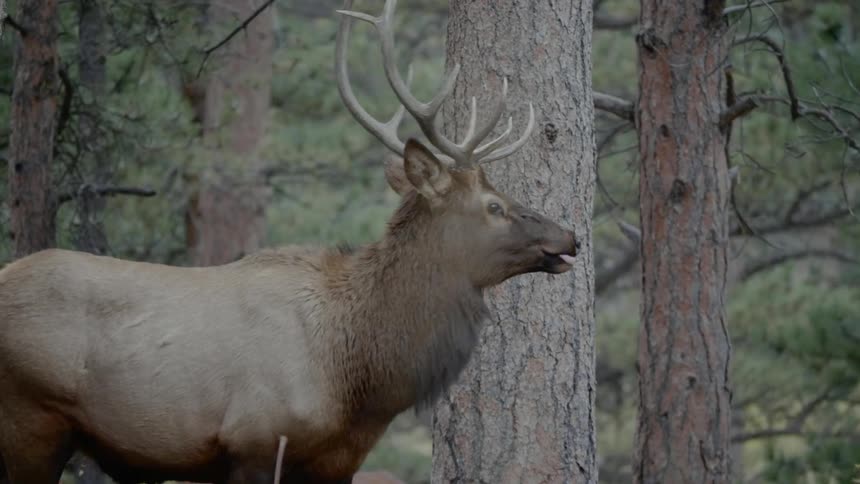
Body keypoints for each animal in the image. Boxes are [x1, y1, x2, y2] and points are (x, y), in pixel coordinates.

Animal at [0, 1, 580, 483]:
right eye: (494, 206)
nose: (569, 235)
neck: (358, 383)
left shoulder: (335, 464)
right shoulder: (254, 442)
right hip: (31, 420)